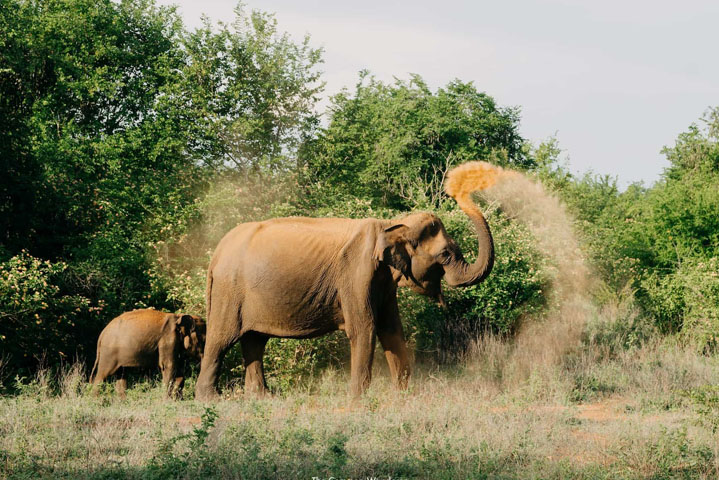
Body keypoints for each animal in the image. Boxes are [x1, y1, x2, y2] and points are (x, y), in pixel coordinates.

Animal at [197, 166, 498, 402]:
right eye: (445, 254)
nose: (459, 186)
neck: (391, 224)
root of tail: (217, 253)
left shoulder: (382, 280)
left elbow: (392, 329)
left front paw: (404, 397)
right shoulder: (356, 273)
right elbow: (364, 329)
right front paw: (357, 401)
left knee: (254, 340)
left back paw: (261, 398)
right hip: (229, 291)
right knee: (220, 340)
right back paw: (209, 400)